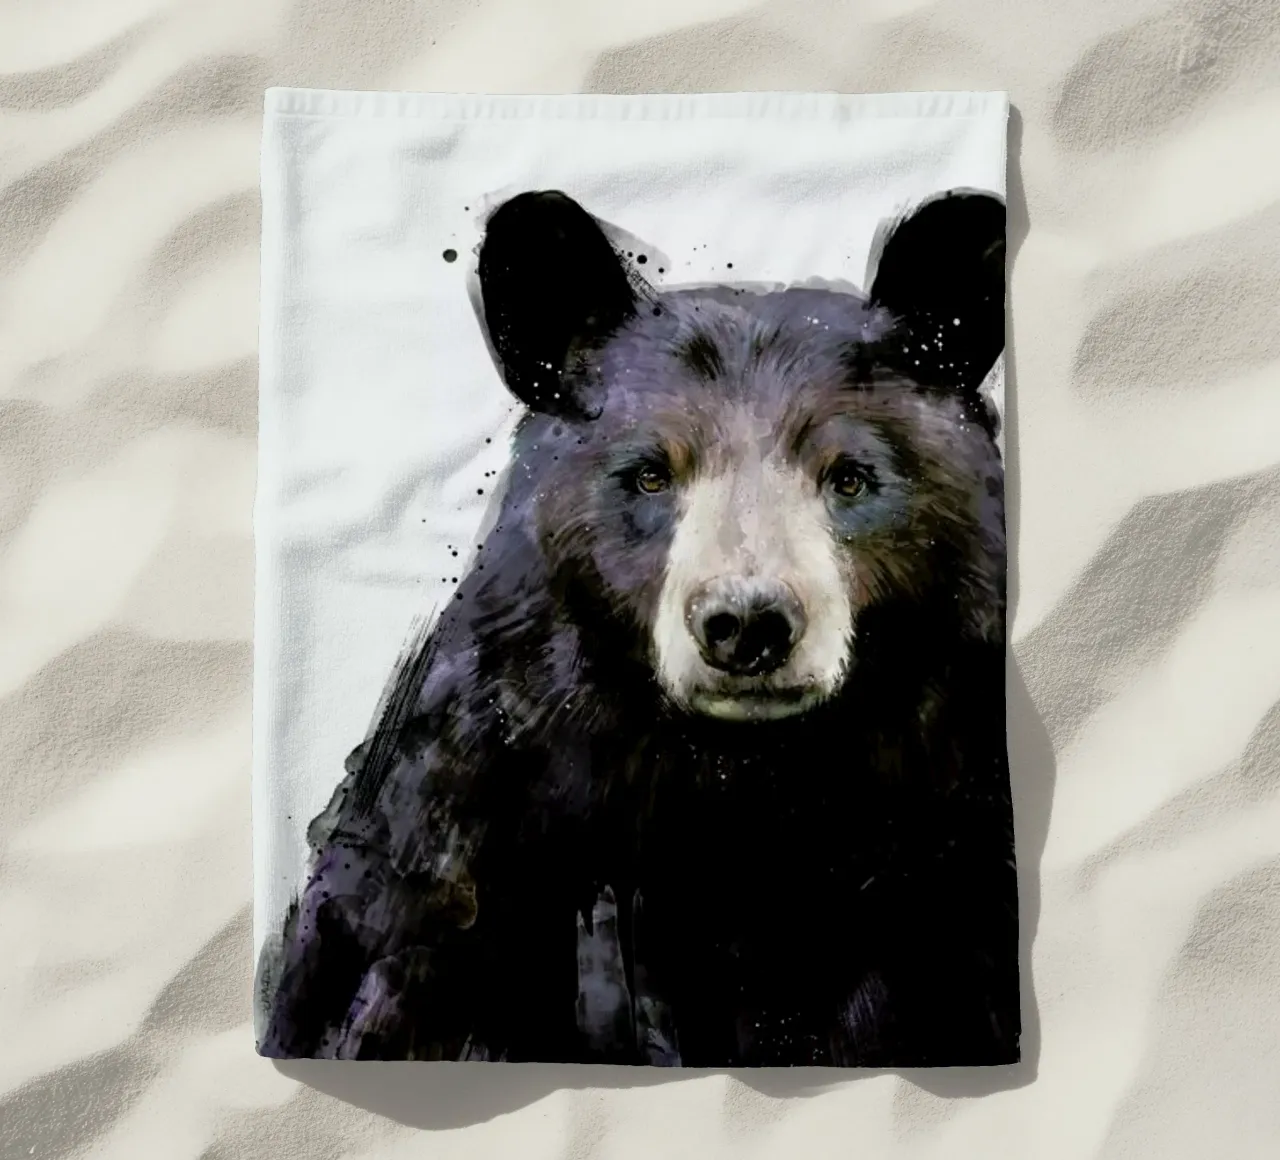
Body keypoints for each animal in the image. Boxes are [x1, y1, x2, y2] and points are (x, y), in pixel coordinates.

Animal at [255, 187, 1019, 1068]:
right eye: (651, 474)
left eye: (852, 478)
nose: (747, 623)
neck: (744, 785)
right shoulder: (470, 826)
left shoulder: (947, 853)